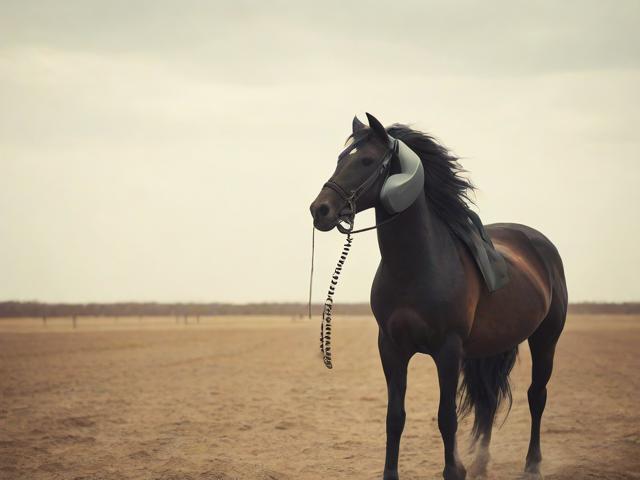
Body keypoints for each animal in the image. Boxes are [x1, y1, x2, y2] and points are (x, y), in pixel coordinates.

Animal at [308, 113, 564, 480]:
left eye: (367, 161)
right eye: (341, 159)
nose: (320, 210)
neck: (416, 265)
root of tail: (538, 242)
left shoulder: (448, 350)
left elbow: (446, 418)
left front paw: (454, 470)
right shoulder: (391, 348)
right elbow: (394, 417)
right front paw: (391, 473)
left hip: (545, 338)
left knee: (536, 396)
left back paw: (532, 466)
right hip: (492, 346)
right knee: (488, 400)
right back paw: (481, 464)